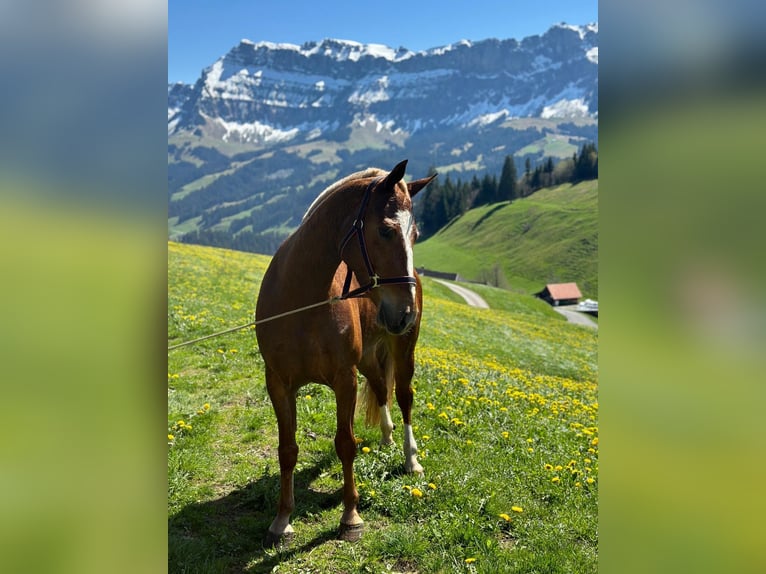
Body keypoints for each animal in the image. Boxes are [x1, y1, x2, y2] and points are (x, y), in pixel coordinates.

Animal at [256, 161, 436, 544]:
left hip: (403, 349)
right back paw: (386, 436)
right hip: (369, 357)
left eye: (415, 236)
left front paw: (350, 516)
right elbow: (287, 448)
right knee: (381, 389)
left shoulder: (345, 380)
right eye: (385, 231)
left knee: (403, 396)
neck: (301, 301)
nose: (405, 312)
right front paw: (282, 519)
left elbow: (346, 443)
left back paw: (410, 459)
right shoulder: (277, 383)